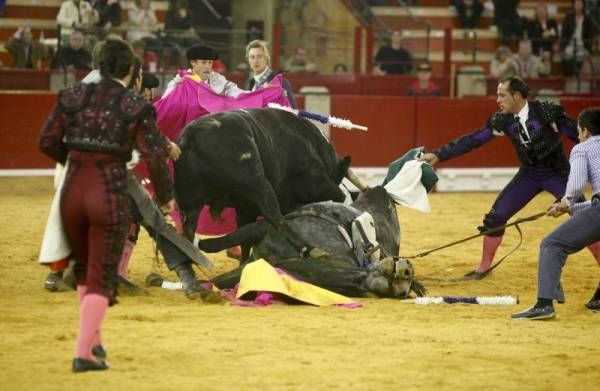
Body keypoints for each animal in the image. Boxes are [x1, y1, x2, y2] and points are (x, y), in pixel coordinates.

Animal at [173, 108, 352, 247]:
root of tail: (191, 137)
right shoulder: (318, 183)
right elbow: (339, 197)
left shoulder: (245, 208)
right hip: (257, 183)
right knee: (273, 213)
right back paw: (307, 247)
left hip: (190, 202)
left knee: (188, 232)